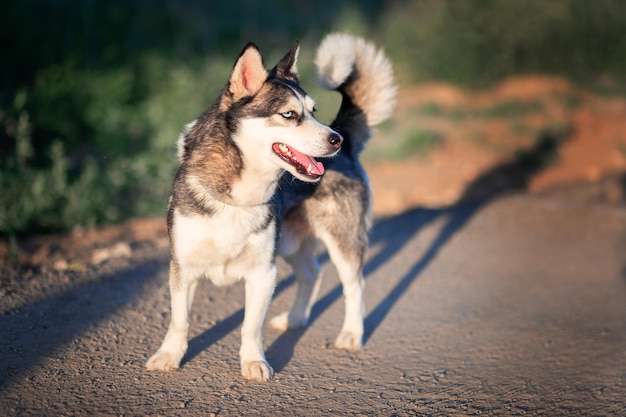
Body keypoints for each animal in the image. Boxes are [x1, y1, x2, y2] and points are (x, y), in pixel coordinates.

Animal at [144, 33, 392, 380]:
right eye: (289, 115)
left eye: (314, 111)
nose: (336, 139)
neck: (237, 196)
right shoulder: (183, 268)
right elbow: (180, 320)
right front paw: (169, 355)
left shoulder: (263, 272)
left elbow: (251, 326)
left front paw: (254, 362)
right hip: (289, 243)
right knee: (311, 273)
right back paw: (295, 319)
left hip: (340, 241)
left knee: (354, 286)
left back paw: (351, 334)